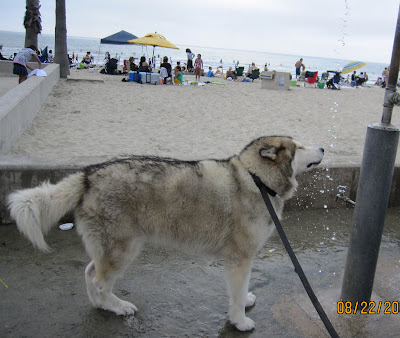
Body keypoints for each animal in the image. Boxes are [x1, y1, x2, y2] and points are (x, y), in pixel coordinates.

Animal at [7, 136, 324, 332]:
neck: (255, 178)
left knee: (89, 272)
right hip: (124, 250)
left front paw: (243, 300)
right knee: (99, 280)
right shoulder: (239, 257)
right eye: (299, 146)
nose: (322, 148)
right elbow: (235, 296)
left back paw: (100, 304)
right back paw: (117, 306)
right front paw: (239, 320)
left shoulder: (238, 260)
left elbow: (239, 290)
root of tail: (87, 175)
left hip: (111, 248)